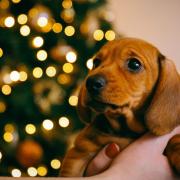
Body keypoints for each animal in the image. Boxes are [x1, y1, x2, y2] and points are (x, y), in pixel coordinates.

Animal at [60, 37, 180, 176]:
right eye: (96, 63)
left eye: (134, 64)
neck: (124, 130)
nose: (90, 83)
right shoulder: (78, 153)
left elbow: (174, 139)